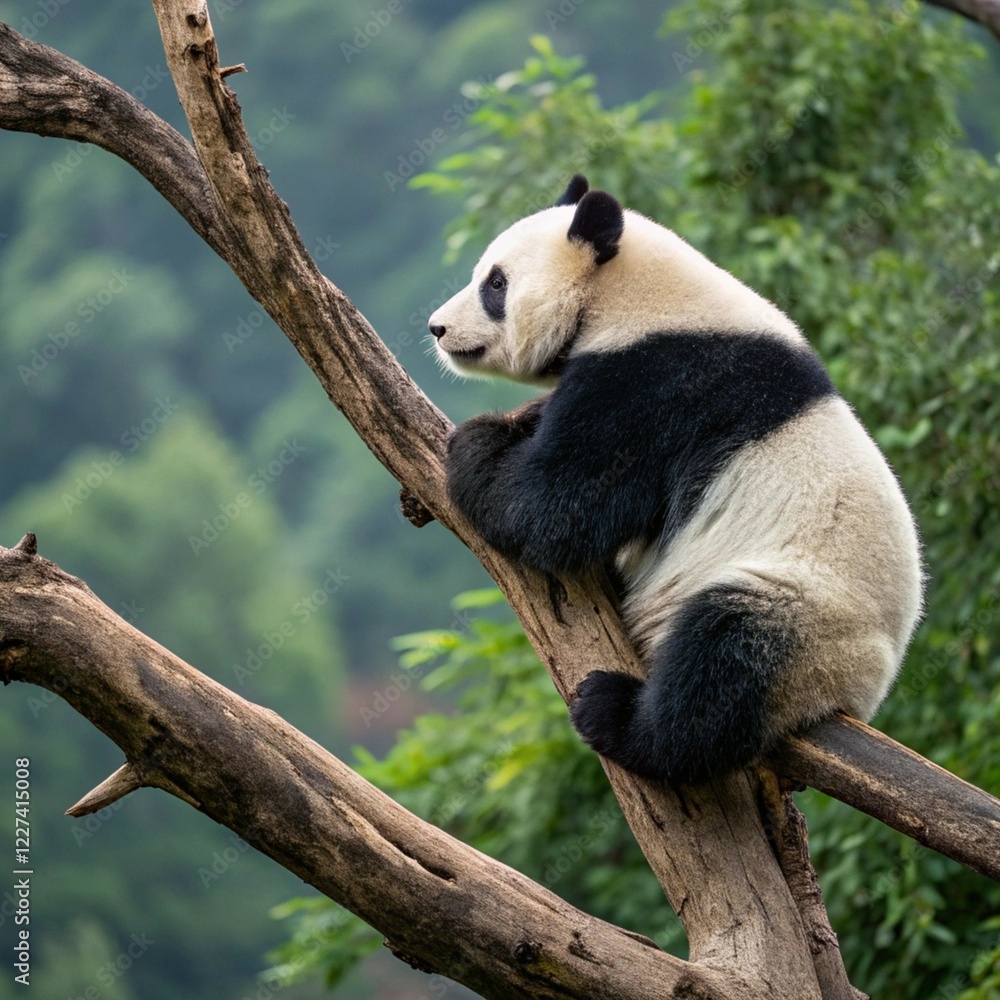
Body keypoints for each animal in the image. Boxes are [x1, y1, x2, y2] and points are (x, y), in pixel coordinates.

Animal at [428, 175, 923, 785]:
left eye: (495, 284)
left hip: (808, 615)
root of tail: (860, 695)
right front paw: (516, 421)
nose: (438, 328)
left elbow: (558, 509)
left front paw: (475, 444)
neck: (630, 296)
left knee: (723, 661)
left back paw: (616, 715)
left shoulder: (657, 382)